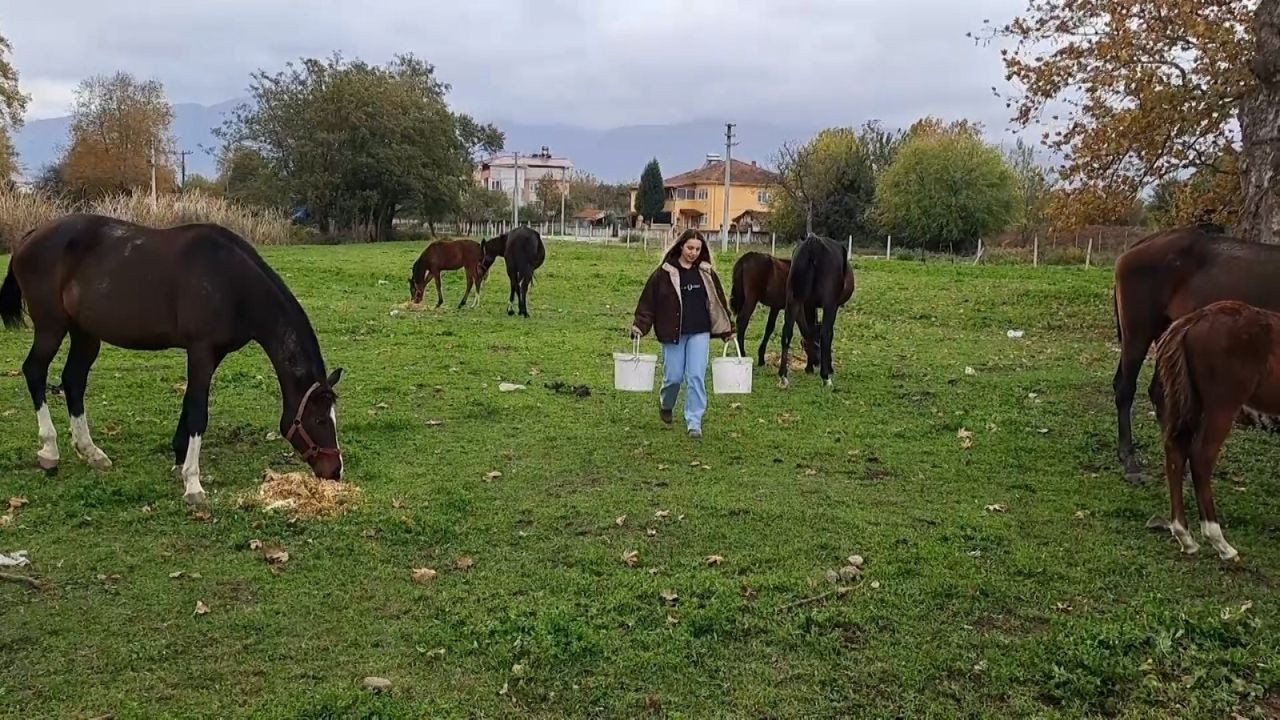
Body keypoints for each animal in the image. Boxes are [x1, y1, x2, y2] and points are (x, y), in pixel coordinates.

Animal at [0, 212, 345, 504]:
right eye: (318, 419)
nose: (335, 470)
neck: (231, 280)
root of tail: (30, 237)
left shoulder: (212, 354)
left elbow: (189, 403)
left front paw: (179, 458)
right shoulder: (201, 350)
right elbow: (198, 411)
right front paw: (193, 483)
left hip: (85, 334)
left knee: (73, 381)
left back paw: (92, 452)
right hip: (51, 327)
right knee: (34, 372)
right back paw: (49, 451)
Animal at [773, 234, 855, 386]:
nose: (817, 362)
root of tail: (813, 244)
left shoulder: (808, 304)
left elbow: (810, 333)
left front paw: (809, 367)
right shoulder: (832, 306)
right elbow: (827, 334)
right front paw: (828, 368)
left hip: (794, 299)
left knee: (787, 331)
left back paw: (783, 376)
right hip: (829, 304)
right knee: (826, 334)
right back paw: (825, 377)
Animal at [1111, 224, 1280, 481]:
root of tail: (1136, 248)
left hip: (1167, 333)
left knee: (1160, 393)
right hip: (1138, 332)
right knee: (1125, 389)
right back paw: (1130, 462)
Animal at [1152, 299, 1280, 558]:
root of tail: (1191, 321)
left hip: (1191, 402)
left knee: (1175, 449)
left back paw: (1185, 536)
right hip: (1222, 405)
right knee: (1201, 455)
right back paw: (1220, 541)